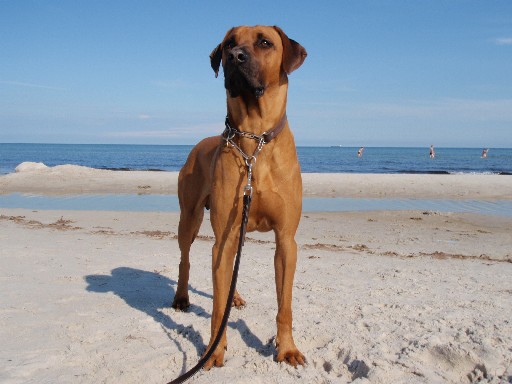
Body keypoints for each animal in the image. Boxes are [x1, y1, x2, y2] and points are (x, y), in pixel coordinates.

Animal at [172, 24, 308, 368]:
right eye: (228, 44)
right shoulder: (223, 236)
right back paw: (181, 297)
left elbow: (285, 305)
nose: (235, 56)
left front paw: (287, 349)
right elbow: (217, 308)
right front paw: (213, 351)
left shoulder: (286, 239)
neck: (254, 140)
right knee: (185, 259)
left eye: (265, 42)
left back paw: (233, 295)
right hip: (189, 217)